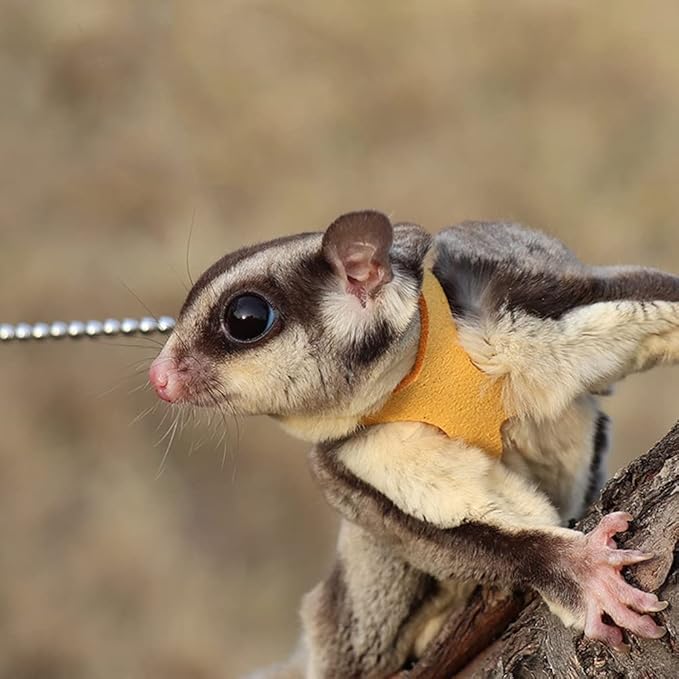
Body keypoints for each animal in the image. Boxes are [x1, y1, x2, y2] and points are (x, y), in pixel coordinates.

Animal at [149, 210, 679, 678]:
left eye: (246, 317)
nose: (159, 378)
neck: (416, 371)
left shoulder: (513, 295)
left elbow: (620, 297)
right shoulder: (351, 457)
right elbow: (438, 527)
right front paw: (581, 570)